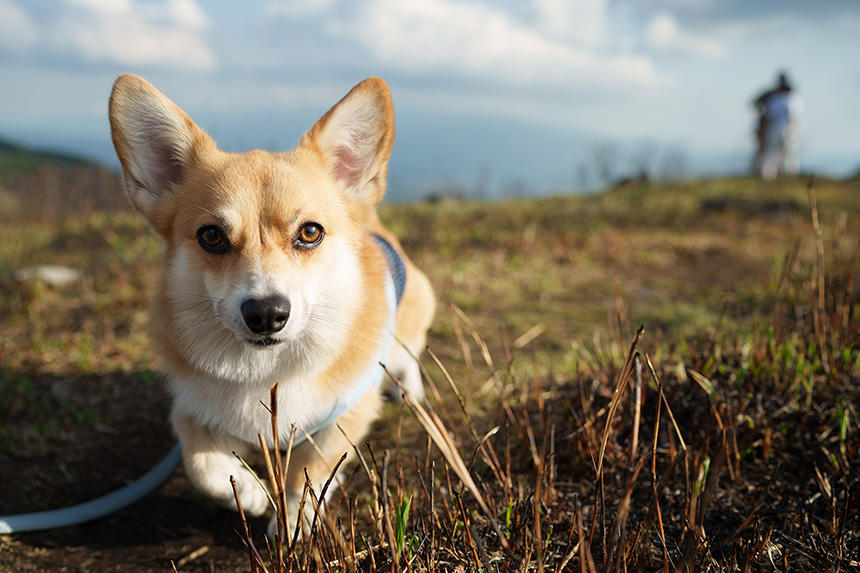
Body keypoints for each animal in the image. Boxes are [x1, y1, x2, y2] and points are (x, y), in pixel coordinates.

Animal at [109, 75, 436, 528]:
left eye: (310, 232)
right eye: (211, 236)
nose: (265, 314)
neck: (266, 370)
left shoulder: (345, 414)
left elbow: (308, 470)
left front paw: (295, 522)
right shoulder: (192, 408)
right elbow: (200, 463)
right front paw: (247, 491)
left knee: (408, 355)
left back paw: (409, 389)